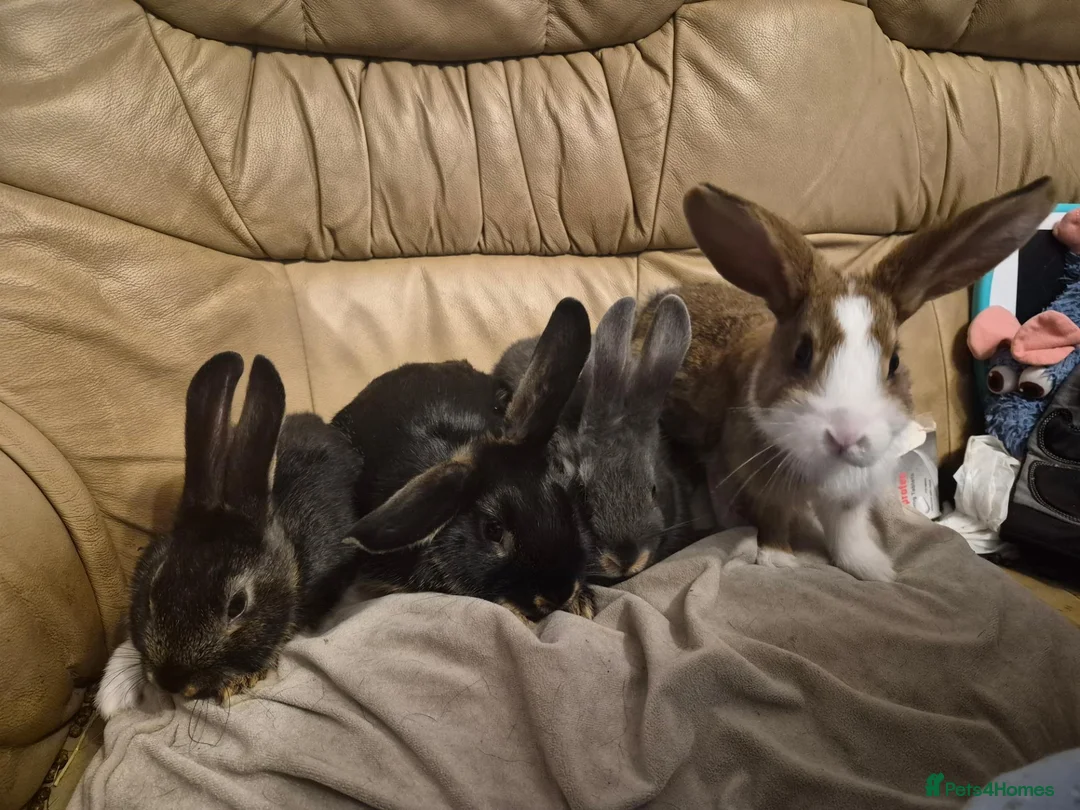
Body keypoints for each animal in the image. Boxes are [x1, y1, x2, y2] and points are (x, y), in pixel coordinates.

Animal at [635, 177, 1054, 582]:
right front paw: (778, 560)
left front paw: (873, 568)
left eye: (894, 362)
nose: (846, 436)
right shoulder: (764, 484)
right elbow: (774, 520)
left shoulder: (849, 500)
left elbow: (846, 533)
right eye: (802, 353)